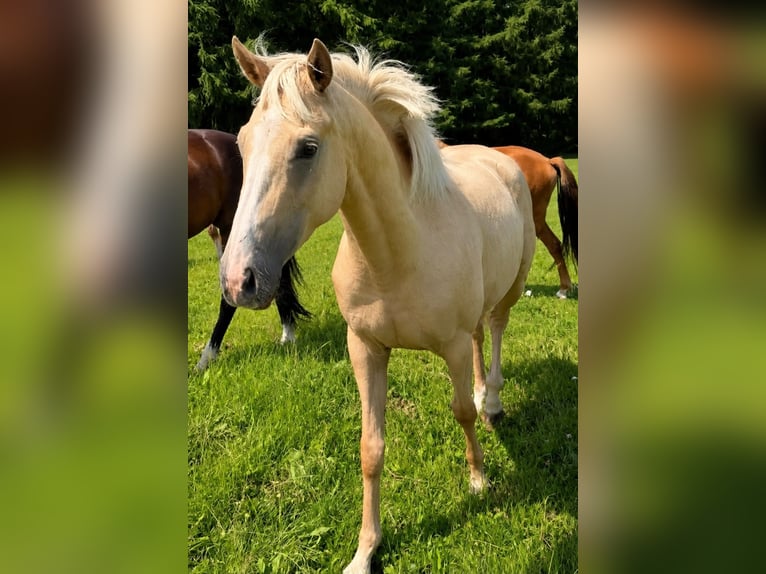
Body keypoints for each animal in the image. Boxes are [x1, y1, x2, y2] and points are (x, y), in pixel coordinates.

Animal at [221, 37, 536, 573]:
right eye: (242, 143)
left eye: (308, 148)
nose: (238, 280)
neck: (397, 251)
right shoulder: (365, 348)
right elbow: (371, 448)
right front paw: (366, 550)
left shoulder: (450, 346)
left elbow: (460, 414)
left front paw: (478, 480)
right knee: (481, 334)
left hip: (512, 289)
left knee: (494, 330)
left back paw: (491, 401)